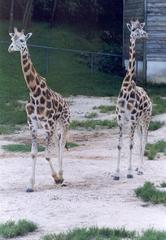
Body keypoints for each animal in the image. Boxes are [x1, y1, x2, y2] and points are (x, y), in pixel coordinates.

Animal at [8, 27, 70, 191]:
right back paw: (60, 175)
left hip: (64, 122)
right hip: (54, 127)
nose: (10, 48)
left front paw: (56, 178)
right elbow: (34, 154)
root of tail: (66, 102)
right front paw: (30, 185)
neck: (34, 92)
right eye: (11, 39)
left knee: (62, 143)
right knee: (58, 141)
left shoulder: (48, 124)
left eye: (22, 40)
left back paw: (62, 176)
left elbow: (47, 155)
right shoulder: (33, 124)